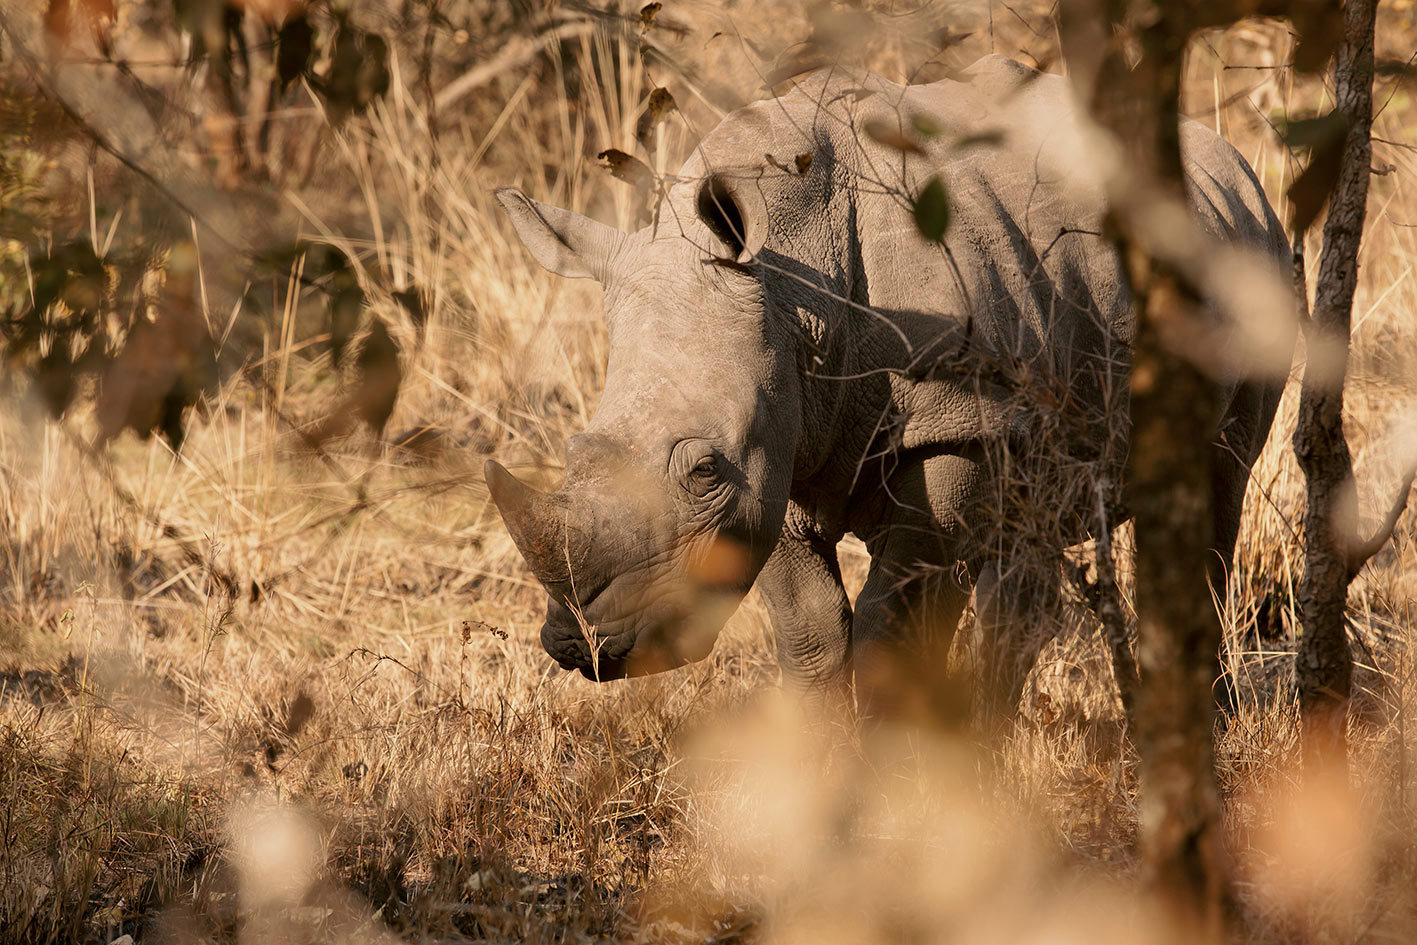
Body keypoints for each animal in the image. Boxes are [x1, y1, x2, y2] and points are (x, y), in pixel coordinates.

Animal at [484, 56, 1291, 714]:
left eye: (704, 469)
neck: (795, 292)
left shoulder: (953, 425)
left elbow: (893, 629)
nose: (583, 650)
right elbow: (811, 634)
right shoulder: (781, 443)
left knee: (1218, 487)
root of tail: (1235, 165)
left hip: (1259, 258)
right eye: (574, 451)